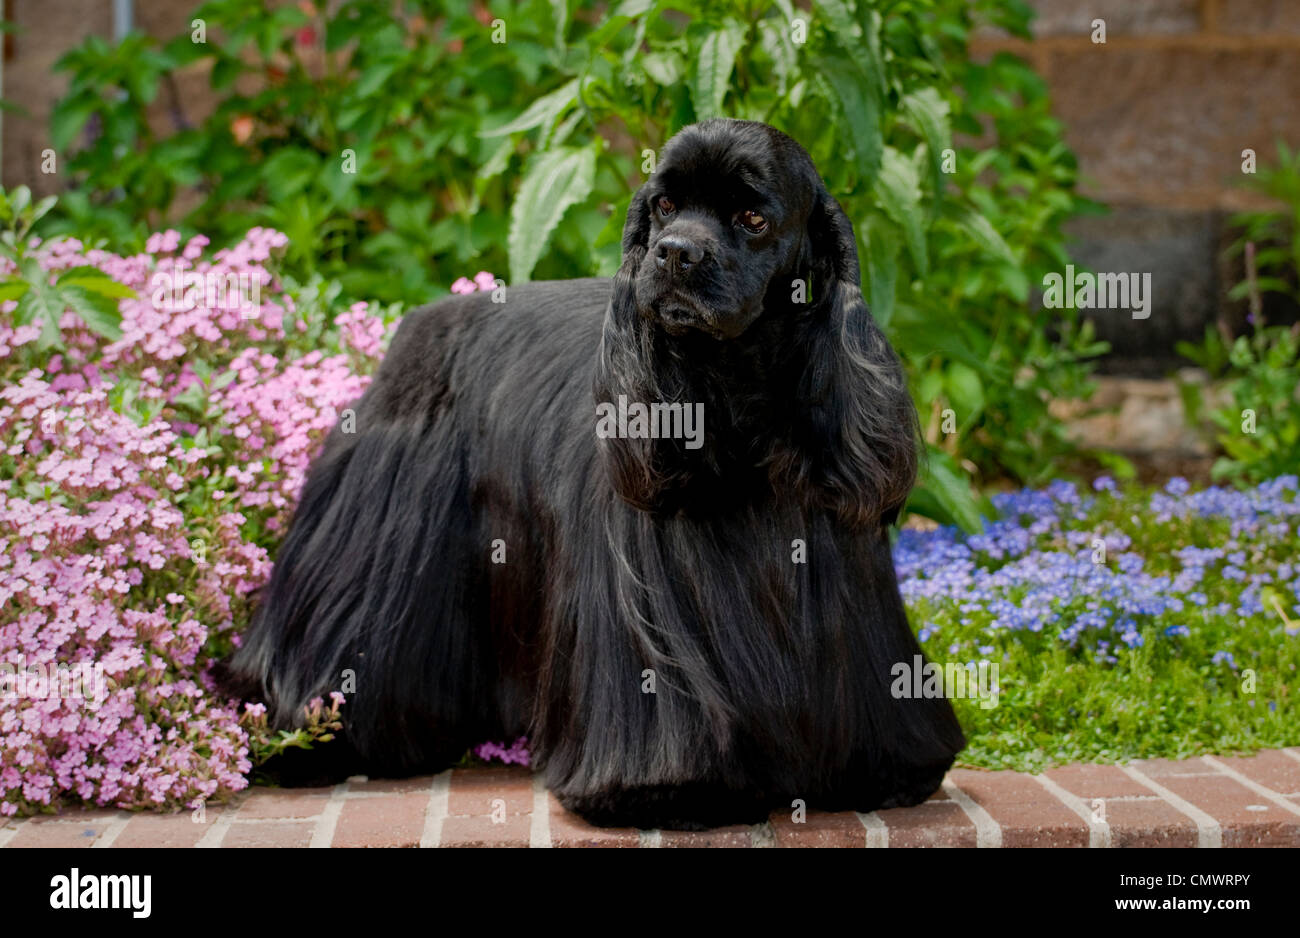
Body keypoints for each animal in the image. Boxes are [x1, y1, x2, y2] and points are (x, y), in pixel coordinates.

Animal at [226, 116, 967, 826]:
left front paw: (883, 774)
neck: (734, 397)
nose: (674, 253)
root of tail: (421, 324)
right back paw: (301, 738)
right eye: (664, 205)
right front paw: (668, 792)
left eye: (754, 217)